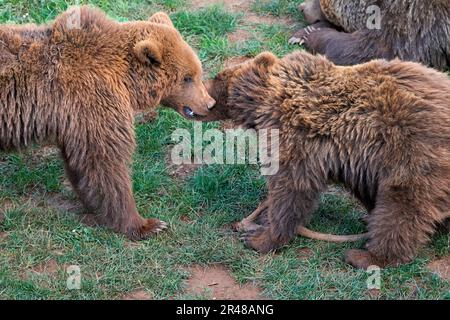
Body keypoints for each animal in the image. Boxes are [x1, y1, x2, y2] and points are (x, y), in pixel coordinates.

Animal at [0, 6, 217, 240]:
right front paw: (146, 224)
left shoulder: (74, 119)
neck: (126, 80)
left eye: (197, 71)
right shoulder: (92, 100)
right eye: (187, 77)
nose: (210, 104)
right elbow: (105, 163)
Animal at [203, 51, 450, 268]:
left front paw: (261, 238)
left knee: (403, 206)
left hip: (414, 151)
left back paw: (366, 256)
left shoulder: (298, 135)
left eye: (217, 77)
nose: (204, 93)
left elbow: (292, 188)